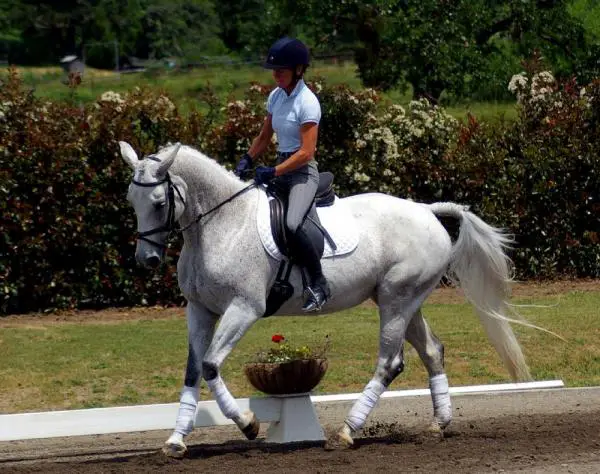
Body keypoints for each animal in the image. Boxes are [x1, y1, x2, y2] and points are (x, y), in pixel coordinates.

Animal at [120, 140, 528, 456]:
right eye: (131, 200)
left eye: (158, 202)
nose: (147, 260)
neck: (221, 225)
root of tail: (425, 210)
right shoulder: (200, 310)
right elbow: (193, 370)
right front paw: (176, 441)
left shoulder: (244, 308)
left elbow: (210, 365)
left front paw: (249, 424)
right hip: (404, 300)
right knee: (432, 351)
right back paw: (438, 425)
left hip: (396, 300)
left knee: (389, 363)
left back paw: (347, 431)